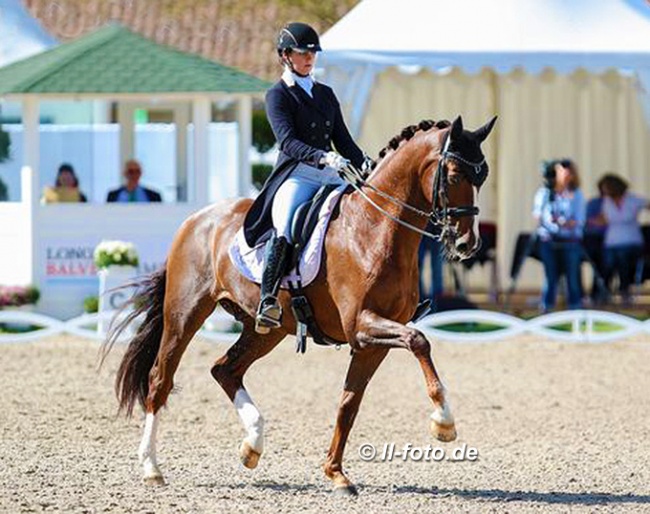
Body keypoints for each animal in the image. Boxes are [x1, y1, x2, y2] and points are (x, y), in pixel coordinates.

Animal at [104, 115, 494, 492]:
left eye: (483, 176)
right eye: (454, 175)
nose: (467, 244)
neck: (374, 228)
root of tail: (197, 218)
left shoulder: (370, 343)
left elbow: (349, 404)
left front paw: (336, 473)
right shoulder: (361, 325)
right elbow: (419, 341)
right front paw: (444, 422)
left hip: (265, 329)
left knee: (224, 369)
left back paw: (253, 445)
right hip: (185, 314)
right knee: (160, 379)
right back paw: (152, 468)